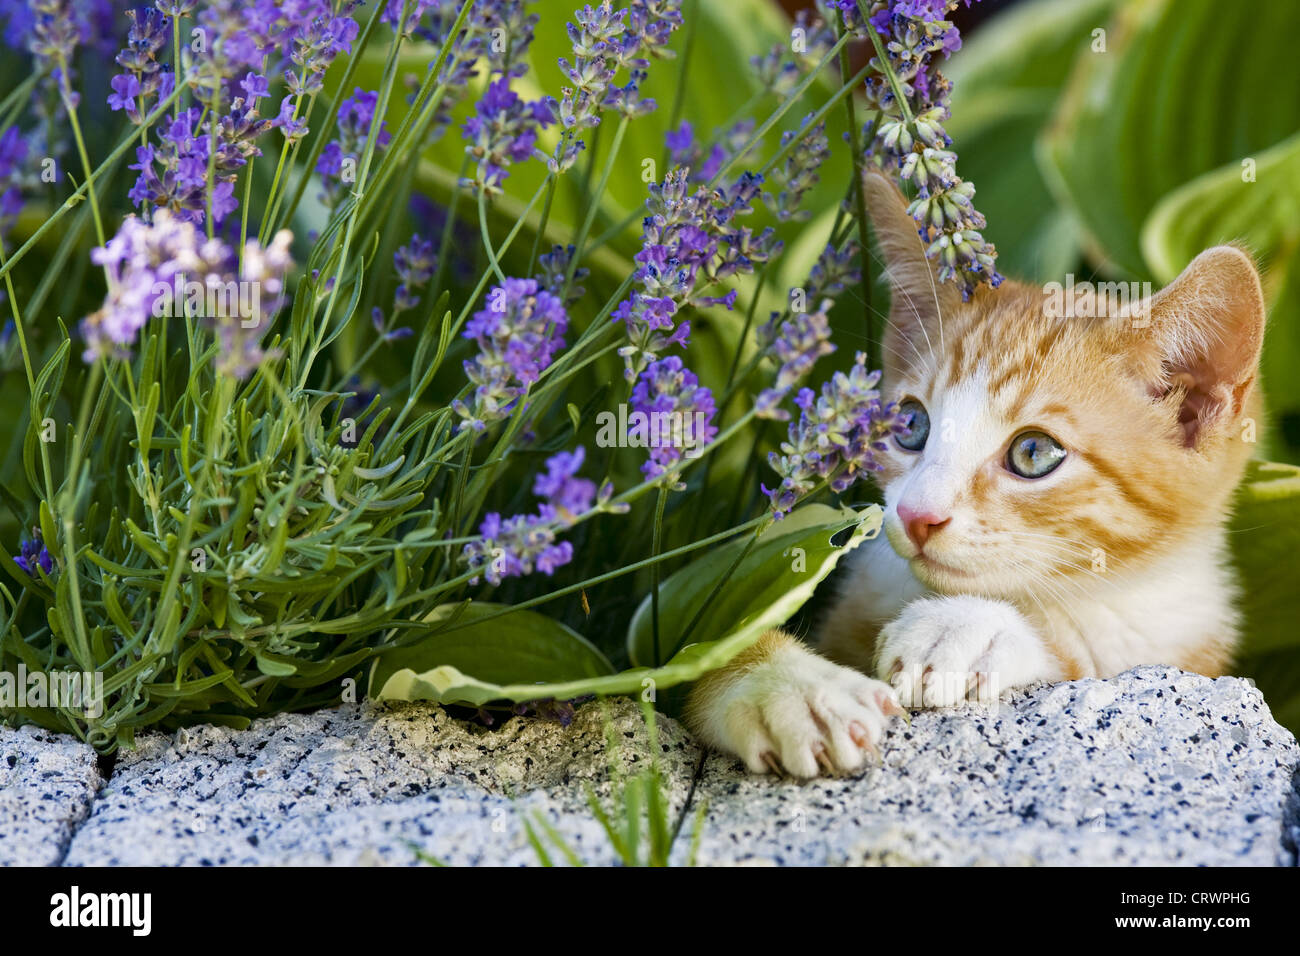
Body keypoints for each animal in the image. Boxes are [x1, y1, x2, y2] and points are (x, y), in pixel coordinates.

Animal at [686, 171, 1263, 780]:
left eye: (1034, 453)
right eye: (910, 424)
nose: (916, 514)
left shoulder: (1182, 645)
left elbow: (1088, 657)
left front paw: (965, 627)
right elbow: (700, 653)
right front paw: (793, 687)